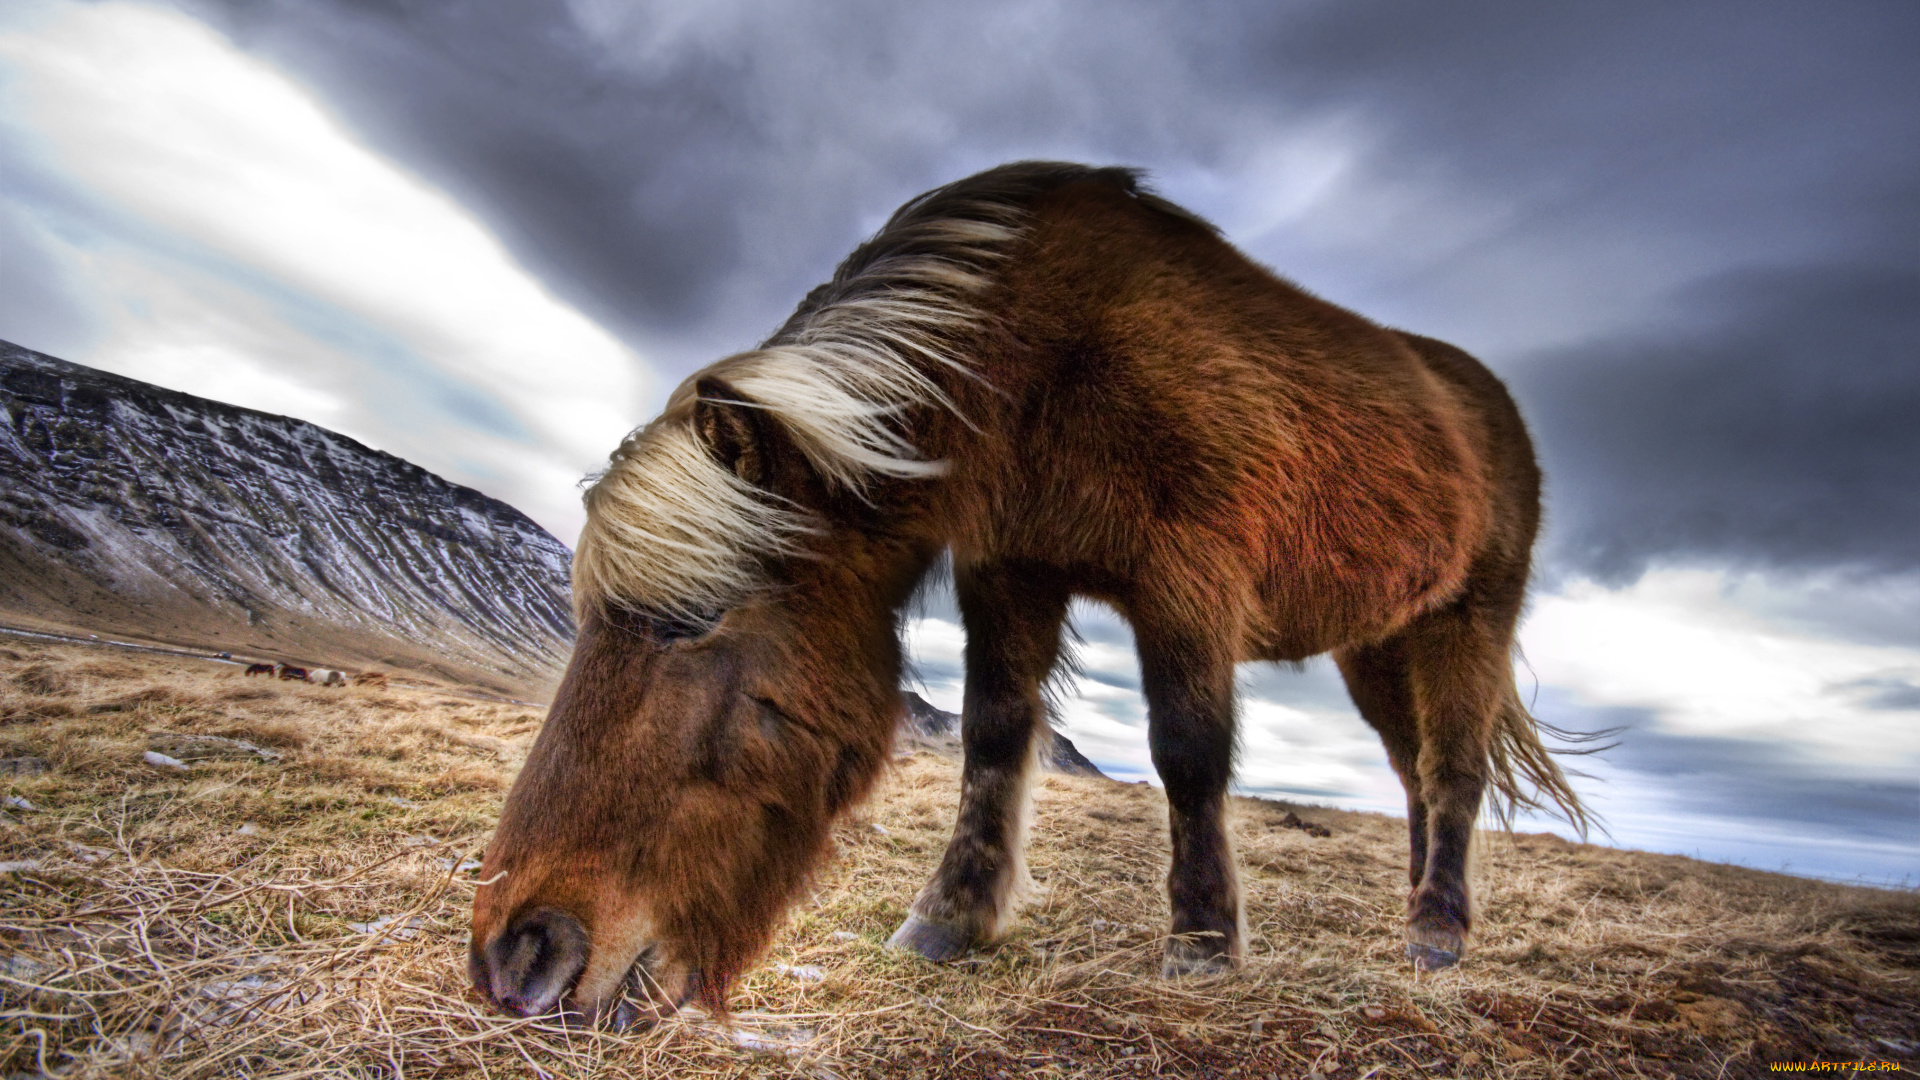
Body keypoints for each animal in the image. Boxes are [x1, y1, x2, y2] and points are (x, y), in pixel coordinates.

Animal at [468, 162, 1586, 1026]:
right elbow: (995, 736)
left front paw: (1202, 941)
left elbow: (1187, 752)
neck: (1044, 359)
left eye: (690, 625)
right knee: (1415, 773)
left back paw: (1437, 932)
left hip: (1467, 625)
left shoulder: (1188, 585)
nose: (516, 955)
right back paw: (1420, 912)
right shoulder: (1010, 572)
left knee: (1451, 769)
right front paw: (949, 919)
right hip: (1378, 645)